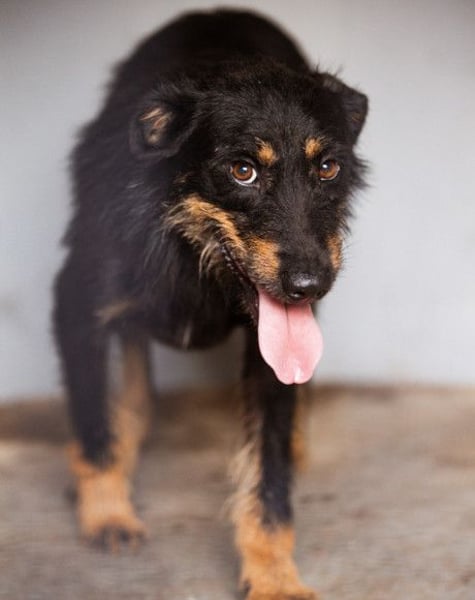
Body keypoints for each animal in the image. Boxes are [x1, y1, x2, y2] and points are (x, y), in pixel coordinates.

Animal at [53, 9, 367, 599]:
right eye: (242, 171)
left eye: (328, 168)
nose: (309, 285)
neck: (191, 253)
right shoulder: (78, 308)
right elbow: (95, 419)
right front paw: (106, 511)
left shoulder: (275, 358)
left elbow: (268, 473)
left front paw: (274, 575)